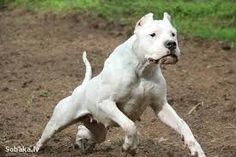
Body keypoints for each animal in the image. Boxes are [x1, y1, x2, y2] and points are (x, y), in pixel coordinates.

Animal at [36, 12, 206, 156]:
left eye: (173, 34)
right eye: (152, 34)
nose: (171, 44)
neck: (142, 69)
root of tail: (81, 88)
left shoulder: (161, 106)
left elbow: (183, 125)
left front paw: (196, 149)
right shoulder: (106, 103)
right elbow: (130, 125)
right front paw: (129, 146)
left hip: (99, 129)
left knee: (86, 130)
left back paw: (83, 141)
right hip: (58, 122)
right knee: (46, 135)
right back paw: (37, 148)